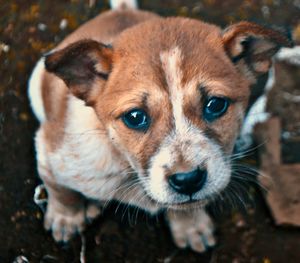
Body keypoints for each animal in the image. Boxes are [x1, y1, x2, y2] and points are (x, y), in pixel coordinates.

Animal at [28, 0, 292, 254]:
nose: (188, 180)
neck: (126, 166)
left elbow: (185, 207)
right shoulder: (49, 151)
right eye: (135, 117)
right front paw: (66, 219)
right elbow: (60, 190)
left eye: (216, 104)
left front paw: (191, 226)